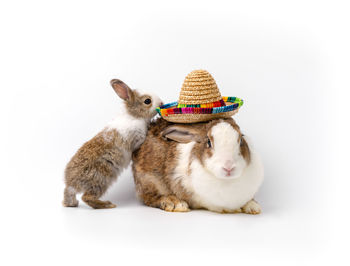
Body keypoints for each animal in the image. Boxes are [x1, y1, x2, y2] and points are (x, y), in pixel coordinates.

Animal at [62, 80, 163, 209]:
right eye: (147, 101)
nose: (161, 103)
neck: (134, 115)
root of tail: (72, 184)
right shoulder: (135, 139)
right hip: (100, 180)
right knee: (87, 197)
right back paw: (107, 205)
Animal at [133, 117, 264, 213]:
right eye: (209, 142)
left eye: (241, 139)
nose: (229, 167)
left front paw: (253, 206)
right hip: (150, 180)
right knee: (149, 197)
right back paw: (175, 203)